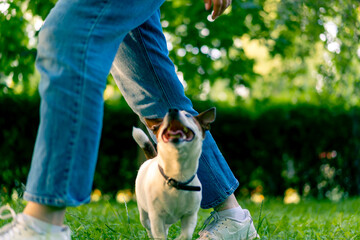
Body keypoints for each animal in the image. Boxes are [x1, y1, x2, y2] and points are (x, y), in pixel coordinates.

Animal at [133, 108, 215, 239]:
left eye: (188, 115)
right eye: (164, 118)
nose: (172, 110)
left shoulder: (190, 216)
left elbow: (186, 235)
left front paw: (179, 238)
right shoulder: (156, 218)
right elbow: (159, 235)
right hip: (143, 214)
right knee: (148, 227)